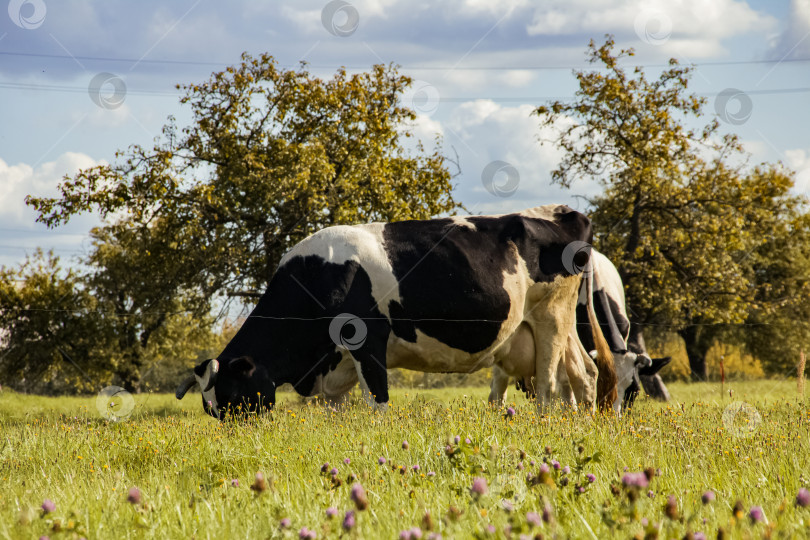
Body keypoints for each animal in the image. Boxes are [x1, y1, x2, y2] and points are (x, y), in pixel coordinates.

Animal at [174, 205, 612, 420]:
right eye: (211, 410)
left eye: (234, 397)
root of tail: (563, 212)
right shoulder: (335, 368)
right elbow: (335, 413)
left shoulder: (366, 338)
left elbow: (378, 404)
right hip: (561, 326)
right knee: (584, 375)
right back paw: (583, 424)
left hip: (550, 317)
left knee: (550, 386)